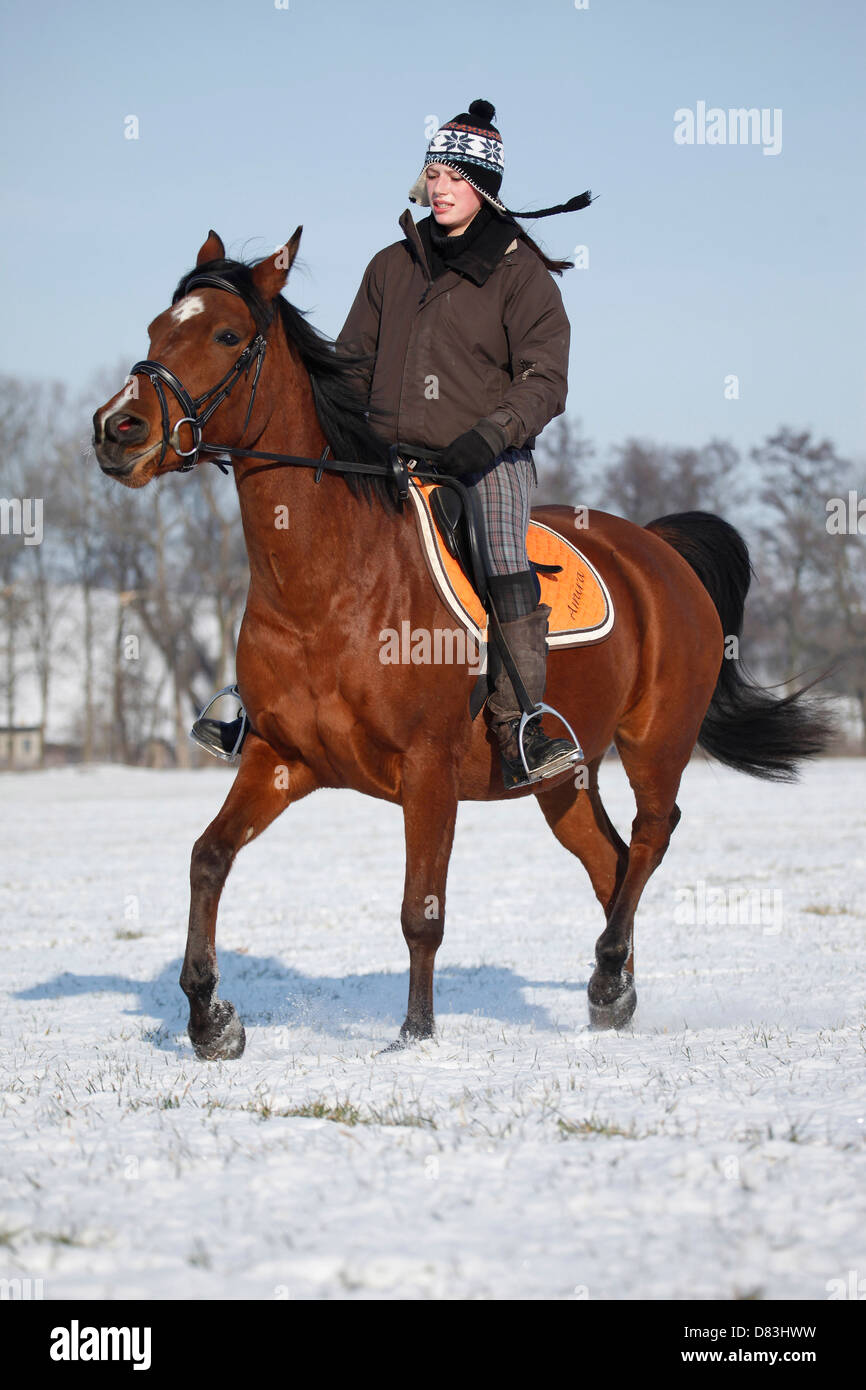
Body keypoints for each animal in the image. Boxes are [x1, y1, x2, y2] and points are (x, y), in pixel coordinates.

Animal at [91, 227, 828, 1056]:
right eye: (157, 328)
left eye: (224, 336)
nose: (116, 430)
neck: (329, 583)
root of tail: (660, 549)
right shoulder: (281, 759)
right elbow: (208, 857)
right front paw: (210, 1017)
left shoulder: (427, 770)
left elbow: (422, 911)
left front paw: (415, 1036)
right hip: (562, 776)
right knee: (608, 861)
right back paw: (617, 993)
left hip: (656, 741)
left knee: (650, 837)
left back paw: (609, 973)